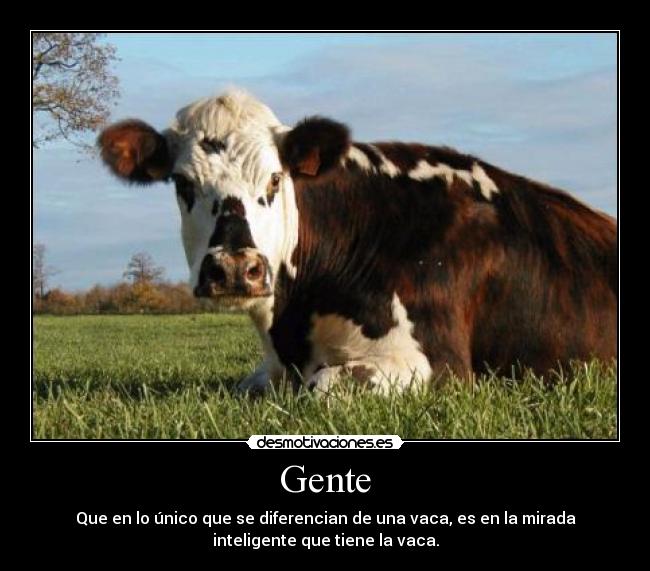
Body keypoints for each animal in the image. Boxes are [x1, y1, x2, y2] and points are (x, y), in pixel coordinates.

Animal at [98, 89, 617, 394]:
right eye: (182, 184)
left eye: (274, 179)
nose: (234, 269)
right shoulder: (270, 369)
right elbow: (250, 384)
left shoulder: (439, 363)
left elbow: (323, 387)